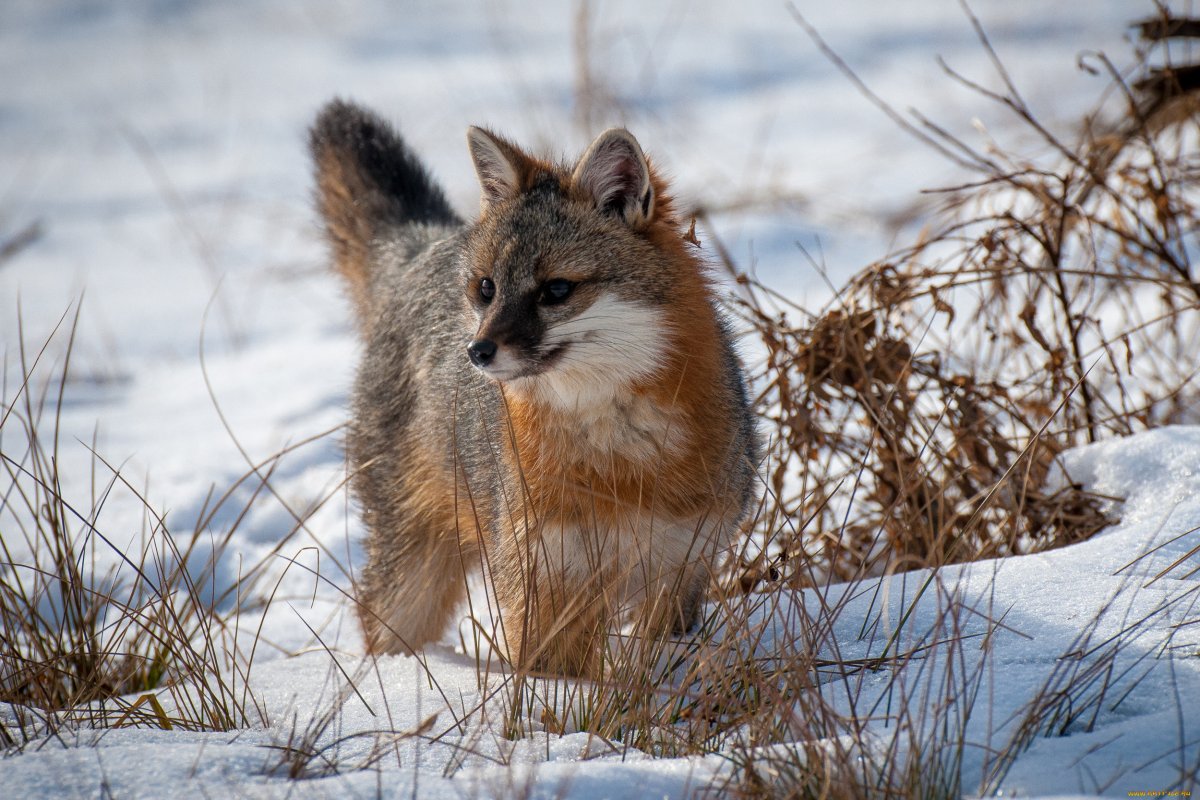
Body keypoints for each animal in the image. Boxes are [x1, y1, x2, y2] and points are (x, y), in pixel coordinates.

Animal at [309, 97, 758, 681]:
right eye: (487, 288)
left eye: (556, 290)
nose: (477, 351)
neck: (619, 467)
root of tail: (426, 245)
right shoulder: (542, 580)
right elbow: (554, 681)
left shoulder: (682, 570)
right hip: (410, 585)